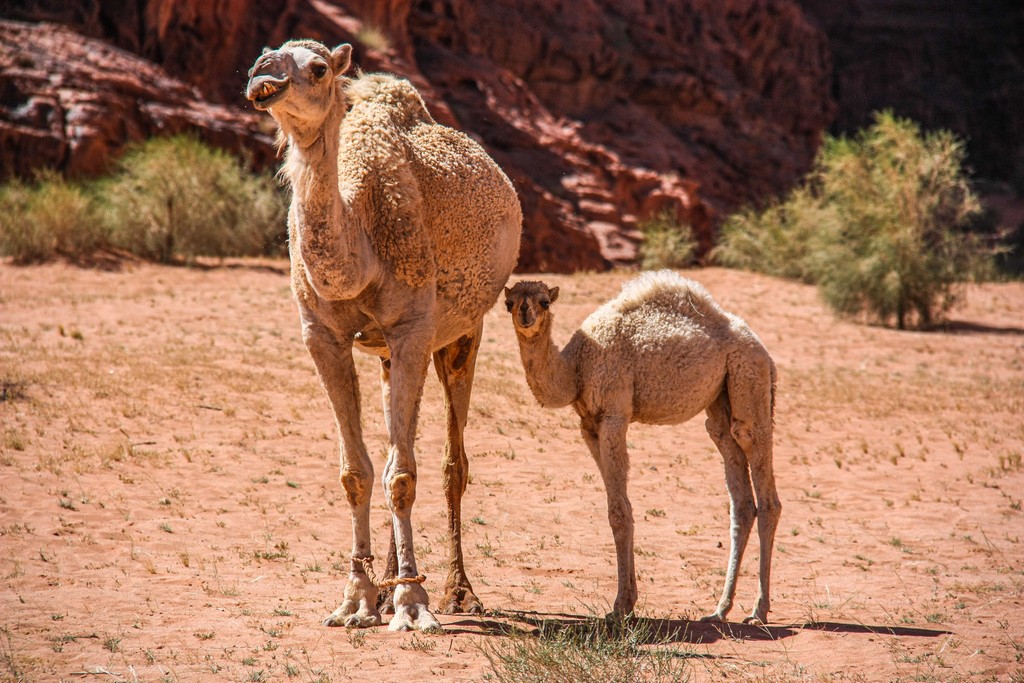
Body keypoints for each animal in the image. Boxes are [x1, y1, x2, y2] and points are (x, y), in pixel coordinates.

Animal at [505, 270, 782, 626]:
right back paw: (720, 609)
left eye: (544, 302)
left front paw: (621, 605)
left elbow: (619, 512)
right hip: (721, 402)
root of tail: (763, 350)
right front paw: (628, 601)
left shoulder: (613, 414)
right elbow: (618, 506)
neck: (577, 366)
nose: (525, 314)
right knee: (741, 496)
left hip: (750, 378)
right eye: (509, 302)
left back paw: (758, 610)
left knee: (764, 485)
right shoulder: (589, 426)